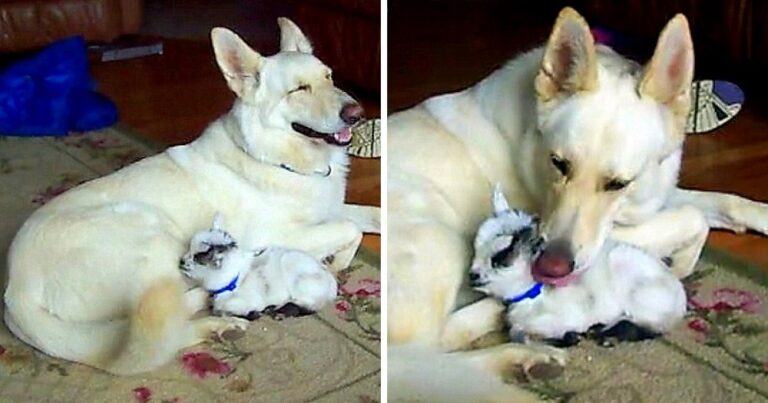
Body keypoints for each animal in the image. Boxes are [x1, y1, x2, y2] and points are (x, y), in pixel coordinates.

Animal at [180, 216, 340, 318]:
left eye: (198, 258)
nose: (181, 262)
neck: (234, 280)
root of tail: (332, 285)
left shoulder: (247, 301)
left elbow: (223, 311)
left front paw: (254, 314)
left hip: (302, 282)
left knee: (309, 306)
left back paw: (279, 312)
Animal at [472, 186, 688, 340]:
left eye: (531, 221)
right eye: (503, 255)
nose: (531, 231)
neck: (535, 295)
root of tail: (682, 301)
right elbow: (519, 335)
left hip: (632, 281)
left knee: (651, 325)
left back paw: (607, 334)